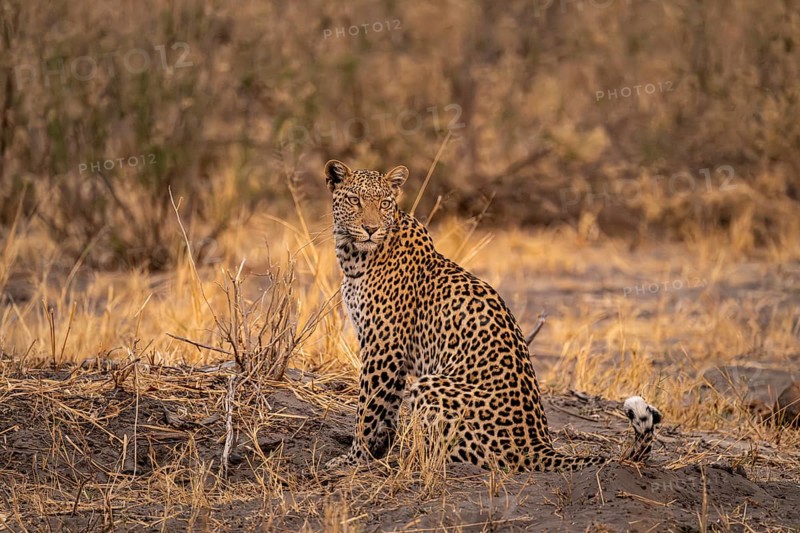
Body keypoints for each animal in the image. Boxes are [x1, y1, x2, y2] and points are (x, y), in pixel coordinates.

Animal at [324, 159, 661, 471]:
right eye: (354, 200)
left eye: (384, 203)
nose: (371, 229)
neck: (353, 256)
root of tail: (538, 446)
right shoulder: (388, 351)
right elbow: (386, 410)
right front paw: (377, 452)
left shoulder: (384, 347)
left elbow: (368, 409)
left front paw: (353, 460)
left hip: (430, 385)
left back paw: (417, 458)